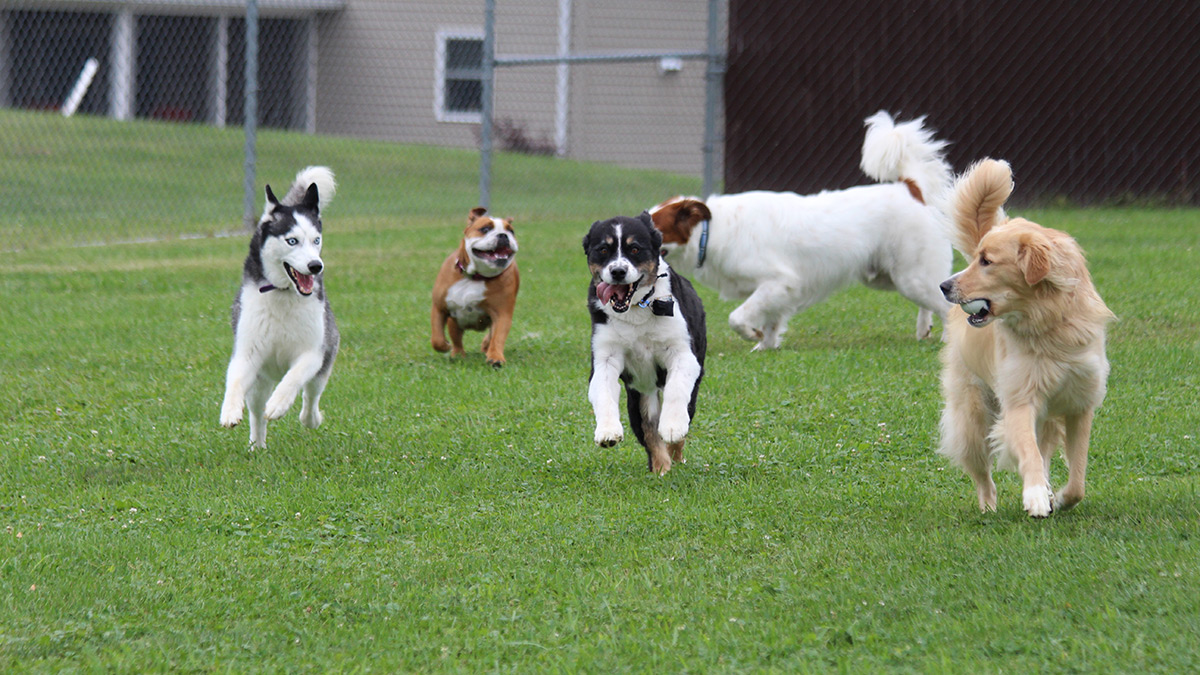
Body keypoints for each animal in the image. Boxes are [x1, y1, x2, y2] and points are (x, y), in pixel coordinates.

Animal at [219, 165, 338, 446]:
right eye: (292, 241)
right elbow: (234, 381)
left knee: (310, 397)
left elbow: (293, 379)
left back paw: (310, 418)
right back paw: (257, 445)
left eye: (316, 240)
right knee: (256, 411)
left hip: (323, 364)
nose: (316, 266)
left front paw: (278, 405)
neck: (284, 293)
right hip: (259, 381)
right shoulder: (246, 353)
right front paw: (229, 410)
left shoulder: (313, 352)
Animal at [580, 211, 700, 473]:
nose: (617, 271)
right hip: (640, 395)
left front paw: (672, 426)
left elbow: (676, 390)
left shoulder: (683, 353)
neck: (636, 310)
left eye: (635, 249)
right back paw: (662, 468)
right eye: (603, 250)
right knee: (650, 433)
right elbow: (603, 392)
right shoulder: (605, 357)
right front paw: (607, 432)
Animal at [936, 157, 1113, 514]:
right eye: (978, 258)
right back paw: (989, 506)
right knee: (982, 471)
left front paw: (1059, 497)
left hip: (1044, 419)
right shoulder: (1019, 401)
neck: (1049, 322)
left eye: (987, 261)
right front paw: (1034, 495)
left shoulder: (1079, 404)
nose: (944, 286)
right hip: (974, 415)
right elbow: (1028, 454)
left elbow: (1077, 478)